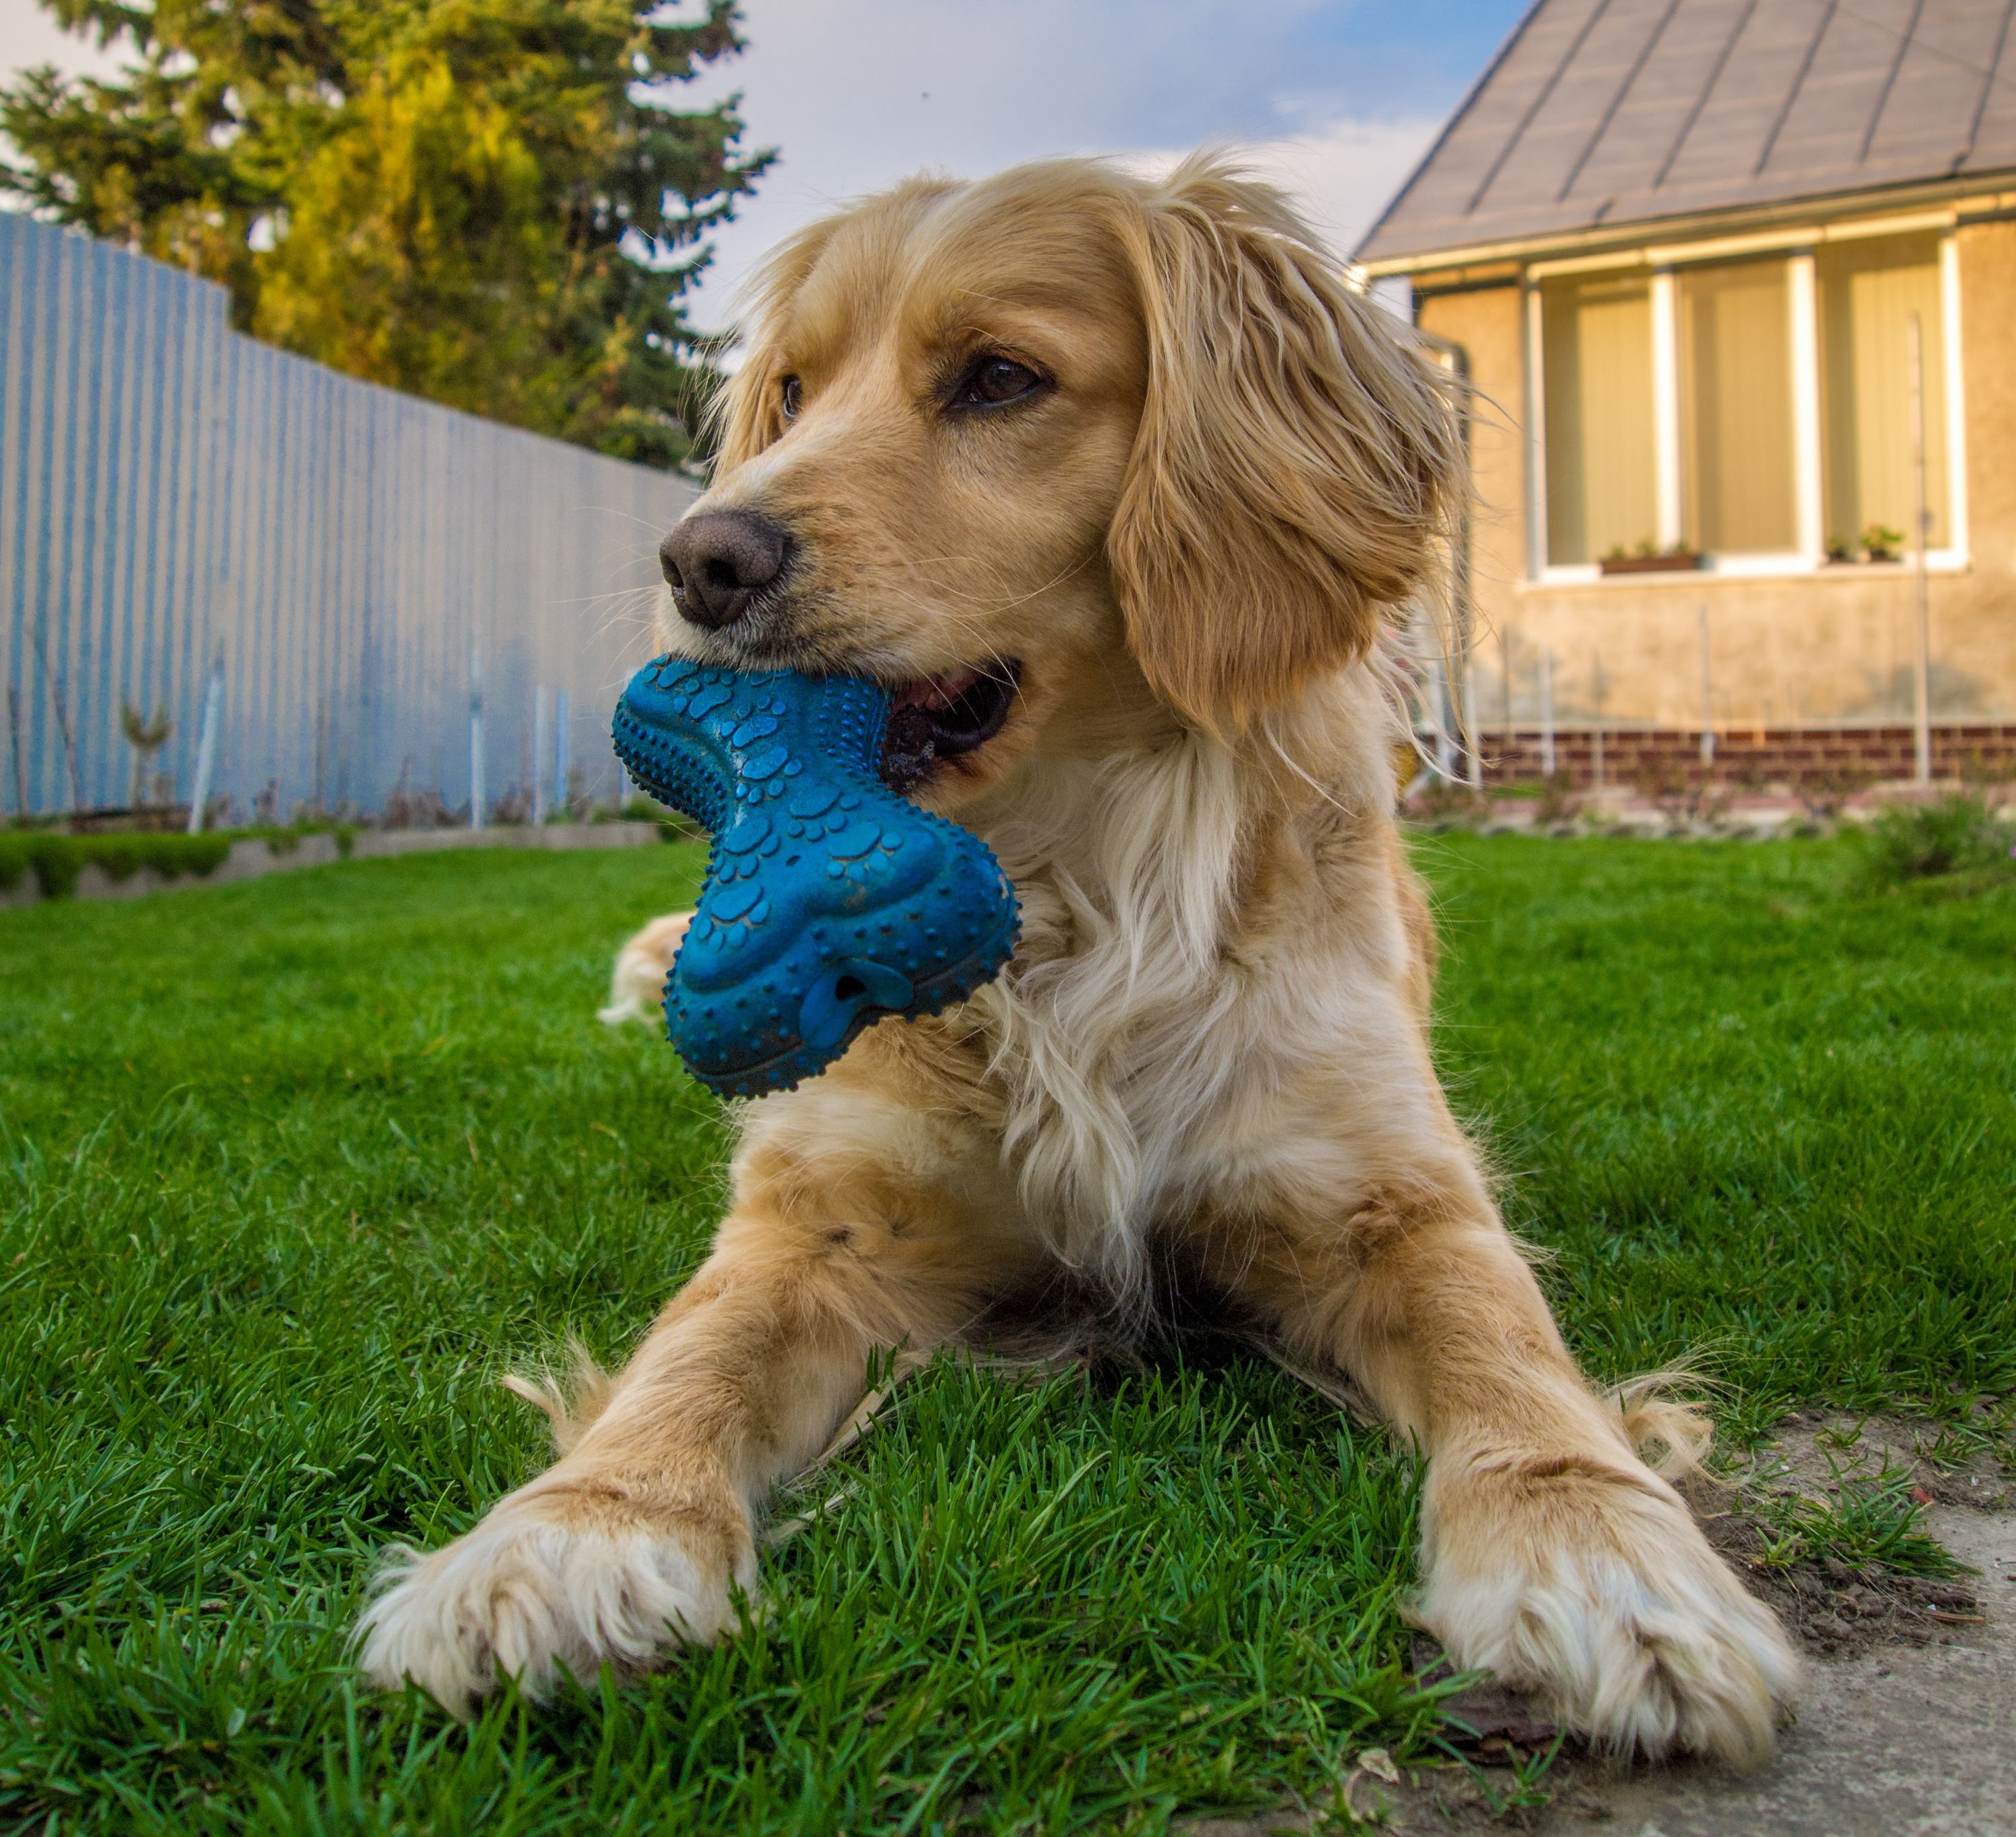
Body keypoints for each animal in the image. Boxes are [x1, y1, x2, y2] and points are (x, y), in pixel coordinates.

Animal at [358, 151, 1798, 1758]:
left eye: (1000, 377)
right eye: (792, 392)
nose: (699, 558)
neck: (1076, 887)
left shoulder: (1388, 1196)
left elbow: (1512, 1355)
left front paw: (1600, 1554)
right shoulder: (826, 1218)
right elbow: (689, 1357)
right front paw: (568, 1535)